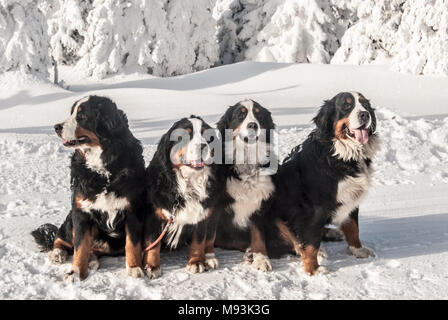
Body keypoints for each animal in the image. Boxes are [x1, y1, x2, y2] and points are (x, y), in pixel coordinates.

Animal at [30, 96, 146, 282]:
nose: (56, 127)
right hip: (70, 218)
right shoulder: (81, 211)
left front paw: (135, 268)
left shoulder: (133, 210)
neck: (103, 169)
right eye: (71, 113)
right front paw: (76, 272)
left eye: (82, 116)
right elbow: (80, 247)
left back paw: (92, 260)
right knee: (61, 239)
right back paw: (57, 253)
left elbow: (132, 244)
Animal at [143, 115, 221, 278]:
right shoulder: (154, 215)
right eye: (184, 136)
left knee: (210, 239)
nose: (203, 146)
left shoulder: (202, 214)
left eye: (208, 136)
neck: (189, 184)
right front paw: (152, 266)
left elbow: (199, 240)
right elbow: (153, 244)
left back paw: (209, 258)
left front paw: (196, 262)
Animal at [213, 99, 278, 270]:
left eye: (259, 115)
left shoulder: (259, 203)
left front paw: (261, 258)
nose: (253, 125)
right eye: (240, 115)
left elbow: (258, 235)